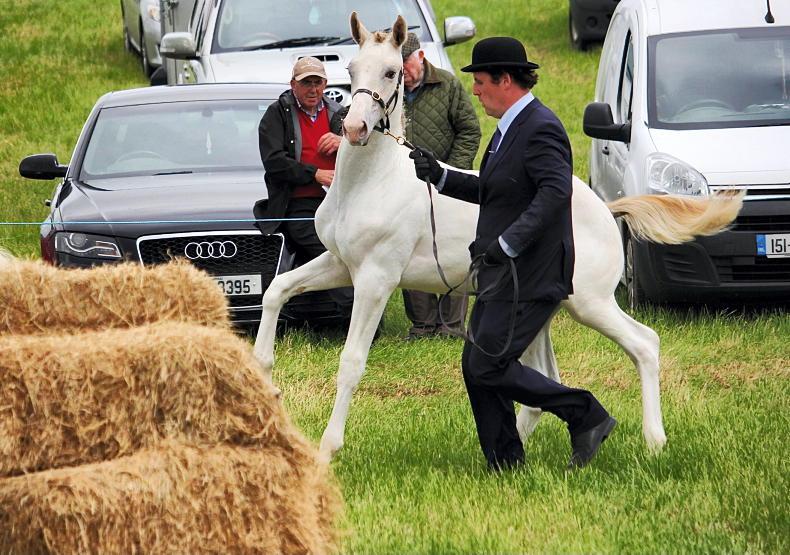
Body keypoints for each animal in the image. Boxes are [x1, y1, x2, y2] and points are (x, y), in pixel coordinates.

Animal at [253, 13, 743, 461]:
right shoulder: (339, 263)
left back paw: (653, 441)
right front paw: (264, 380)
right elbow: (276, 291)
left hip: (590, 303)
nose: (353, 130)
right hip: (540, 310)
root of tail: (607, 210)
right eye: (353, 69)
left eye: (391, 71)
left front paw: (326, 449)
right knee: (542, 375)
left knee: (644, 344)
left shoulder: (376, 279)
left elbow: (352, 362)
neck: (372, 183)